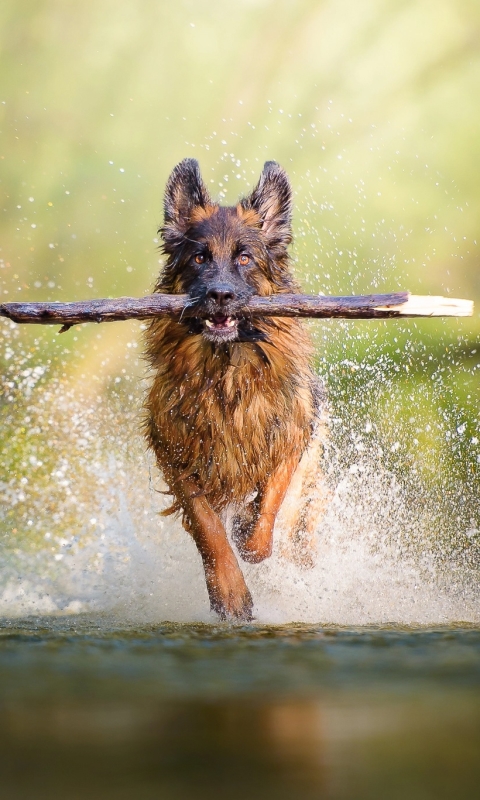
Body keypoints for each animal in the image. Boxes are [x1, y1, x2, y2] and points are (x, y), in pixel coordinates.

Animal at [144, 156, 328, 620]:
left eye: (244, 258)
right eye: (199, 256)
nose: (220, 295)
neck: (226, 372)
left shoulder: (292, 432)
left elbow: (272, 501)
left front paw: (251, 535)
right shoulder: (173, 449)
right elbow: (207, 525)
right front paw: (229, 592)